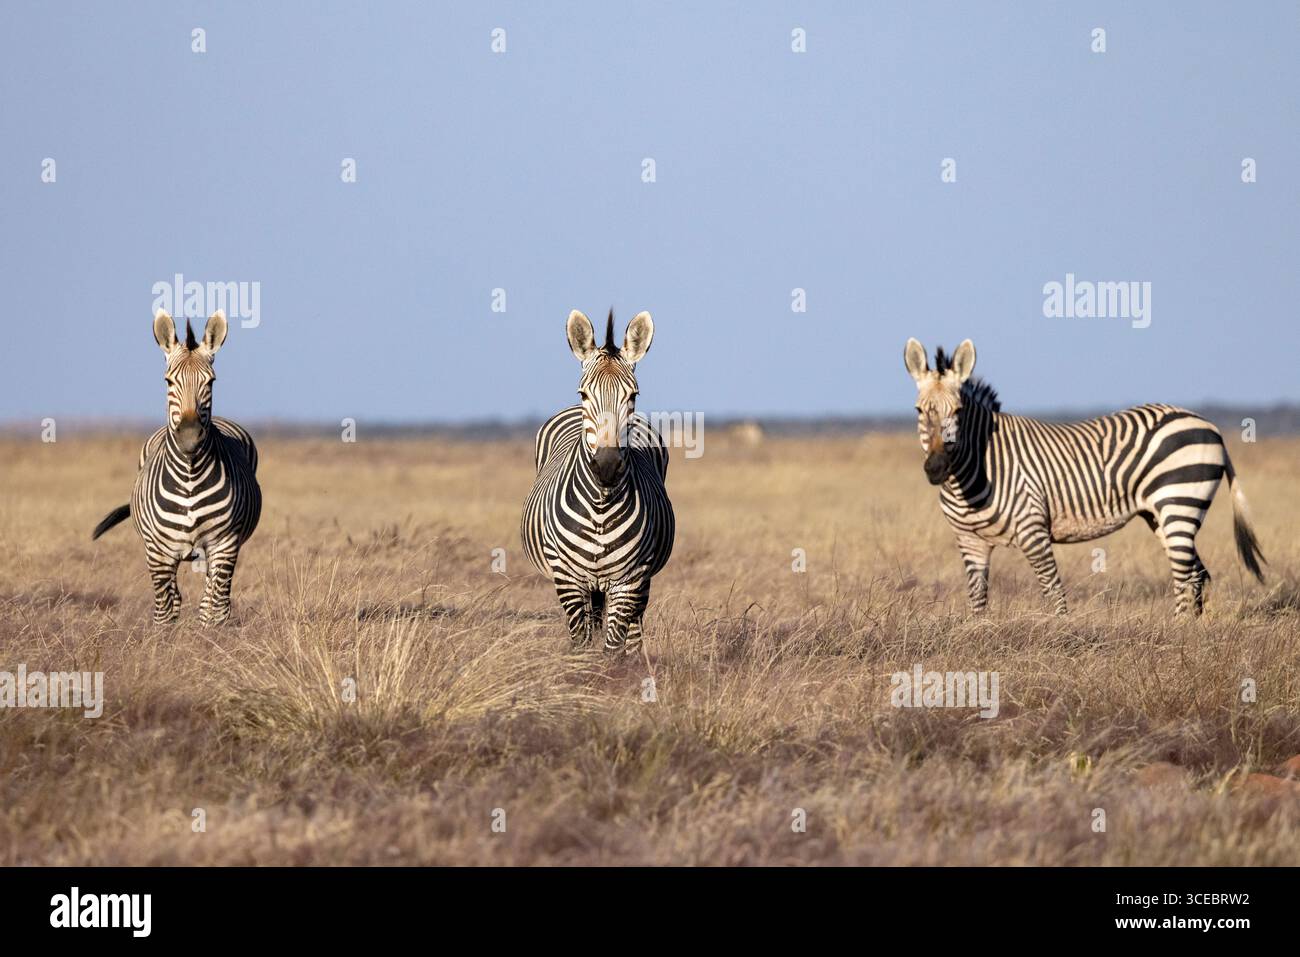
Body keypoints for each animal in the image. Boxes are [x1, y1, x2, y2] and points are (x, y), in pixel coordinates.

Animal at [92, 310, 262, 625]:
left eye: (211, 382)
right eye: (168, 382)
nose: (190, 437)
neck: (191, 474)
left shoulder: (224, 545)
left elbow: (215, 609)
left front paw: (211, 639)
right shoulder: (157, 552)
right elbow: (165, 610)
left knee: (211, 601)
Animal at [521, 309, 675, 653]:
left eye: (633, 396)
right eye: (583, 394)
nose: (606, 466)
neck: (600, 507)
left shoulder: (629, 579)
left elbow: (613, 647)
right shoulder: (567, 577)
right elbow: (581, 642)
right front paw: (581, 668)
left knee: (634, 630)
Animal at [903, 337, 1265, 616]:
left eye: (958, 411)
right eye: (919, 411)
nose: (936, 468)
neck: (975, 469)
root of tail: (1209, 424)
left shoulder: (1033, 529)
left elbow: (1053, 593)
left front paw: (1060, 639)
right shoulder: (970, 541)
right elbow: (977, 602)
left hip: (1180, 502)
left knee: (1184, 575)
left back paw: (1177, 632)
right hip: (1161, 514)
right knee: (1196, 574)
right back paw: (1191, 631)